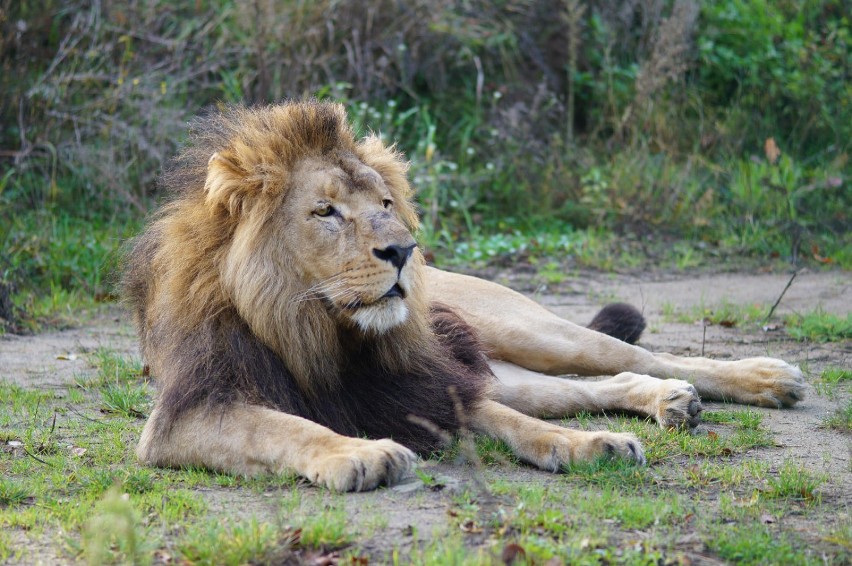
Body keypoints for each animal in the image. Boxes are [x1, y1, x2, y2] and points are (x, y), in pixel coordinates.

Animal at [123, 100, 808, 490]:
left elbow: (517, 425)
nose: (404, 251)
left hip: (528, 330)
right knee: (595, 385)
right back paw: (670, 402)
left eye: (385, 203)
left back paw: (766, 378)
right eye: (325, 211)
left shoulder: (419, 384)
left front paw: (590, 446)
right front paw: (360, 454)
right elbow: (288, 428)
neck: (322, 332)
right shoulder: (191, 414)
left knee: (630, 356)